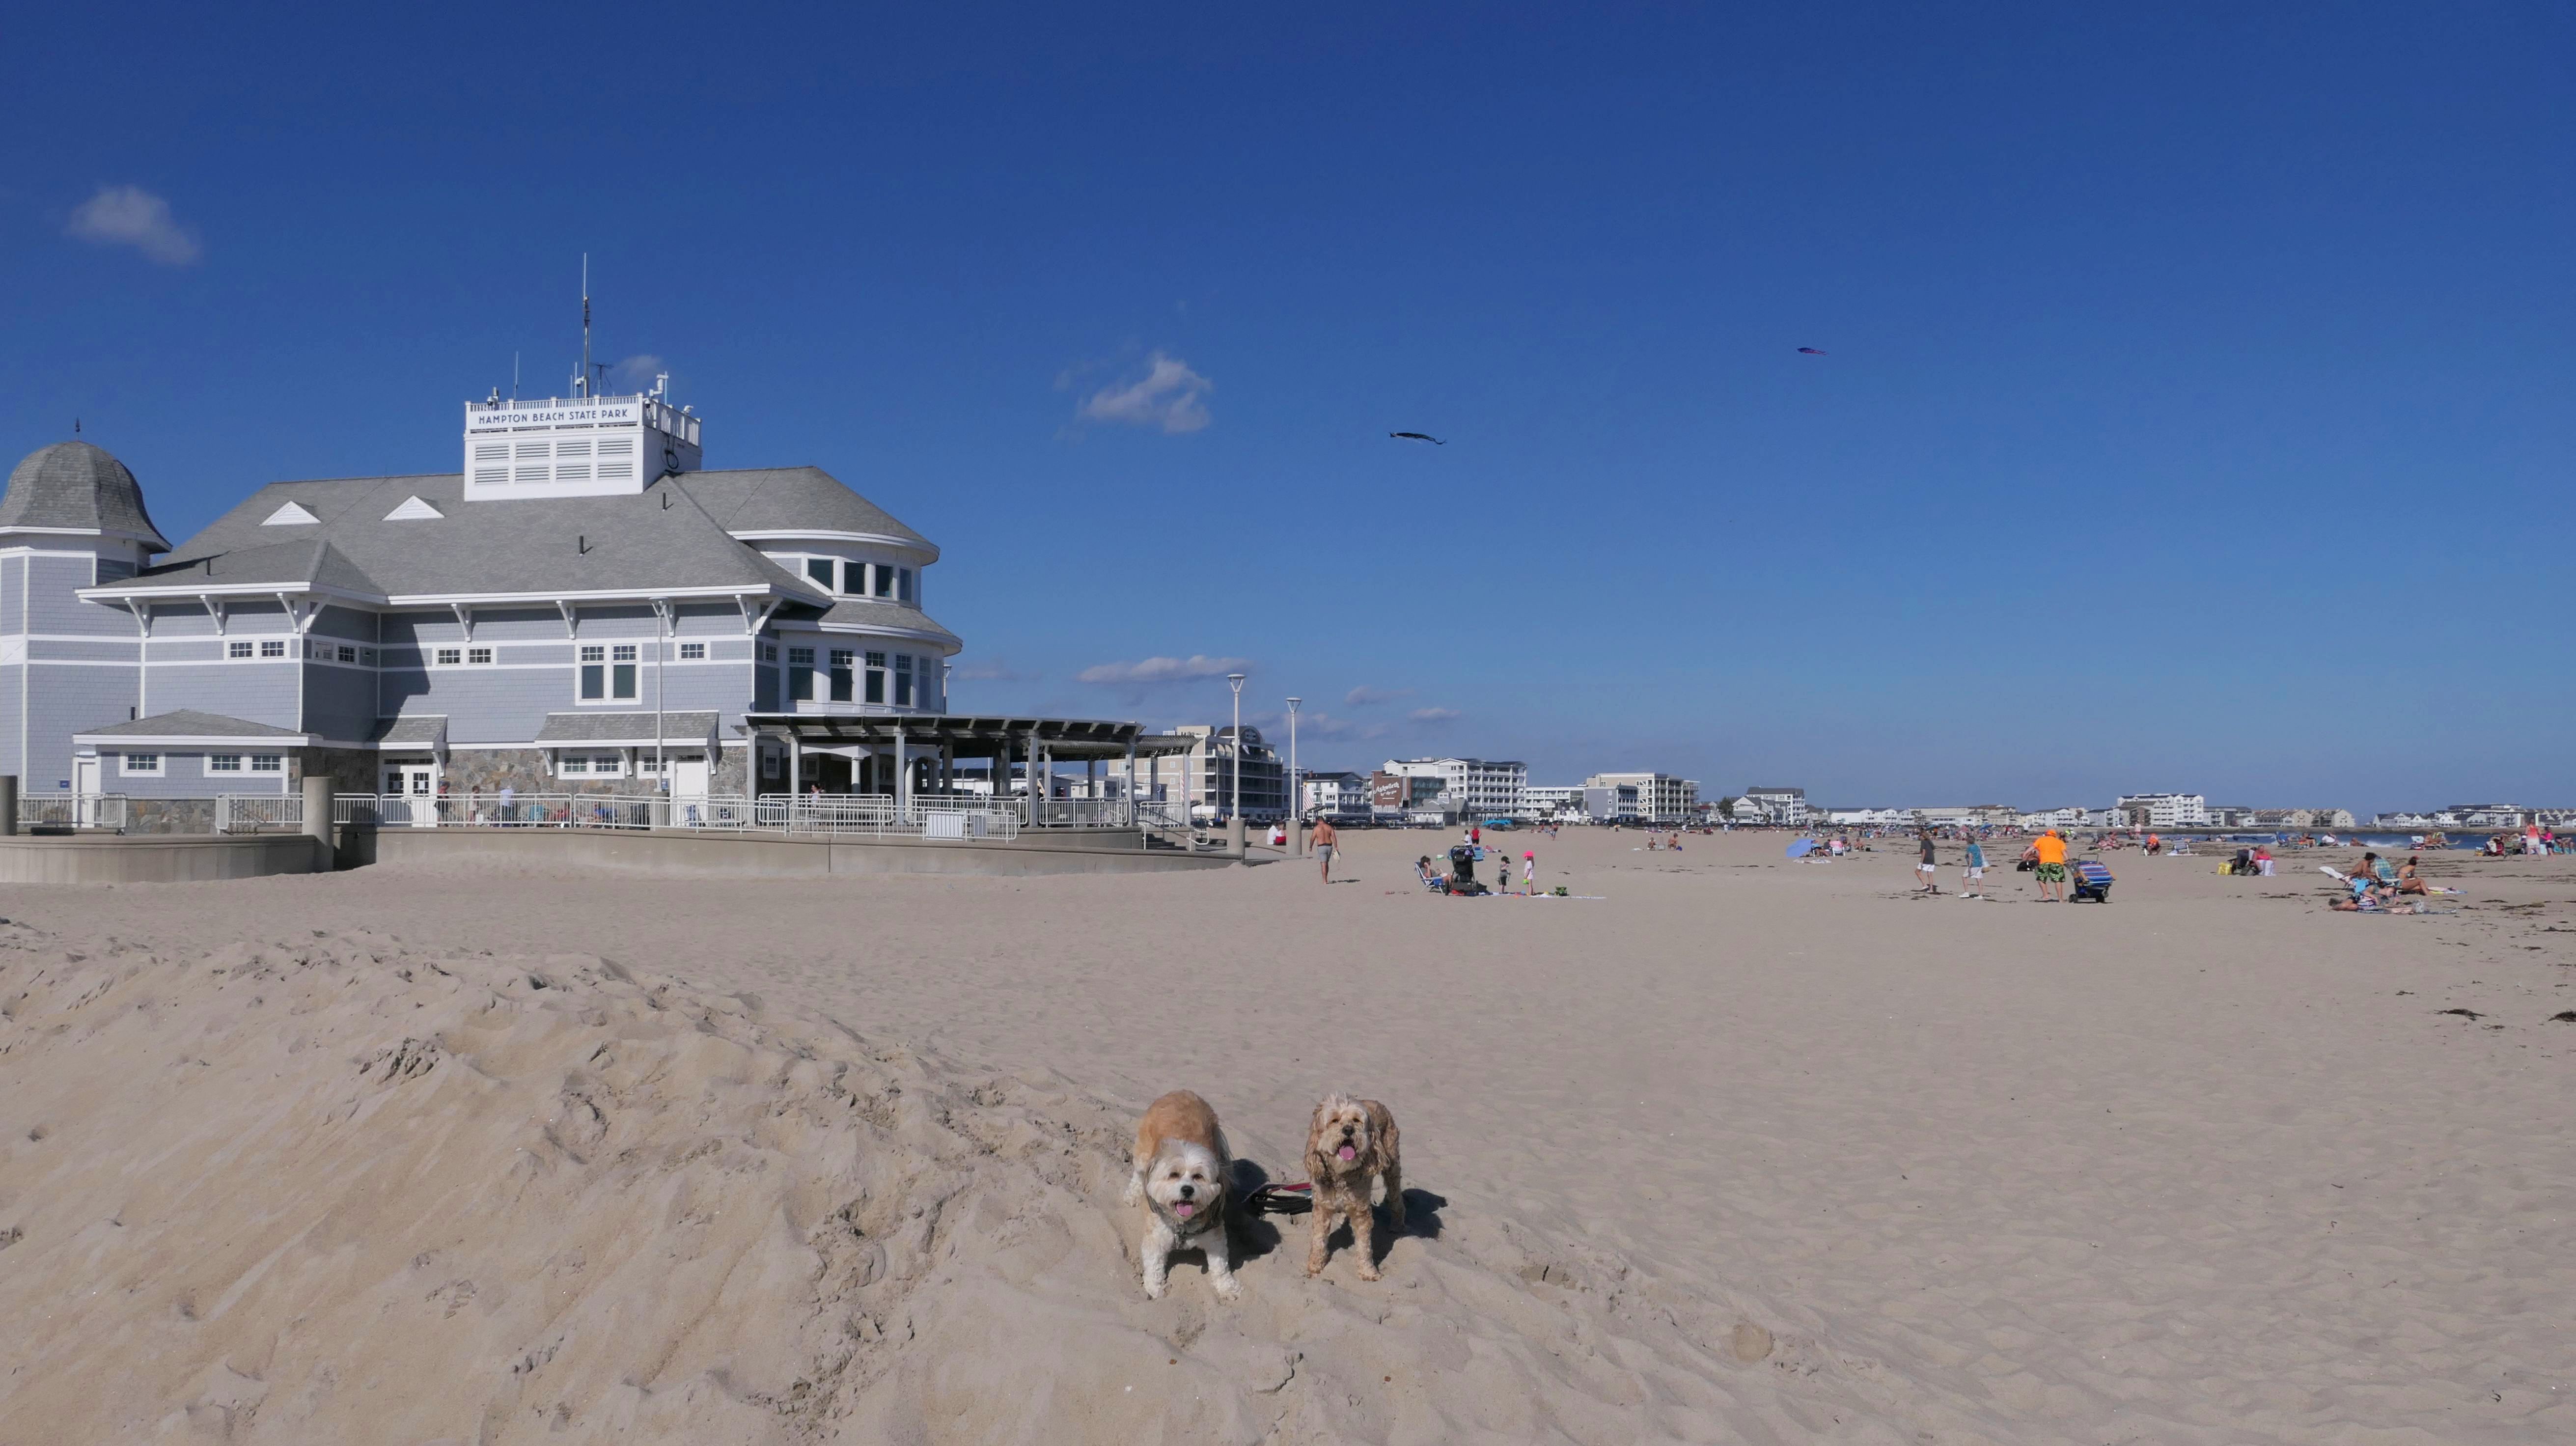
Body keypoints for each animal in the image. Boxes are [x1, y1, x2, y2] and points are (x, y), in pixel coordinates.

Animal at [1122, 1089, 1240, 1300]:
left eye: (1198, 1177)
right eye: (1174, 1175)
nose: (1187, 1190)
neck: (1183, 1225)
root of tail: (1182, 1092)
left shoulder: (1215, 1236)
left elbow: (1220, 1266)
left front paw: (1227, 1287)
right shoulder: (1156, 1236)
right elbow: (1154, 1264)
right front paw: (1155, 1288)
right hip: (1143, 1154)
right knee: (1138, 1173)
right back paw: (1133, 1195)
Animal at [1304, 1094, 1402, 1280]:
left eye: (1356, 1120)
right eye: (1334, 1120)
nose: (1349, 1130)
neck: (1342, 1174)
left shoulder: (1361, 1212)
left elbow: (1365, 1246)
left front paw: (1369, 1272)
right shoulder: (1322, 1207)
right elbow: (1319, 1239)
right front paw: (1314, 1266)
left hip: (1392, 1168)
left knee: (1396, 1199)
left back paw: (1397, 1224)